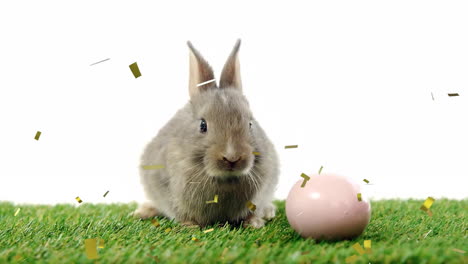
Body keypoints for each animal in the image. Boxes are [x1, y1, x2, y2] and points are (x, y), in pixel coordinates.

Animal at [132, 39, 278, 229]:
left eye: (250, 124)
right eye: (202, 125)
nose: (232, 158)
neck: (225, 178)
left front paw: (254, 223)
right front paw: (190, 226)